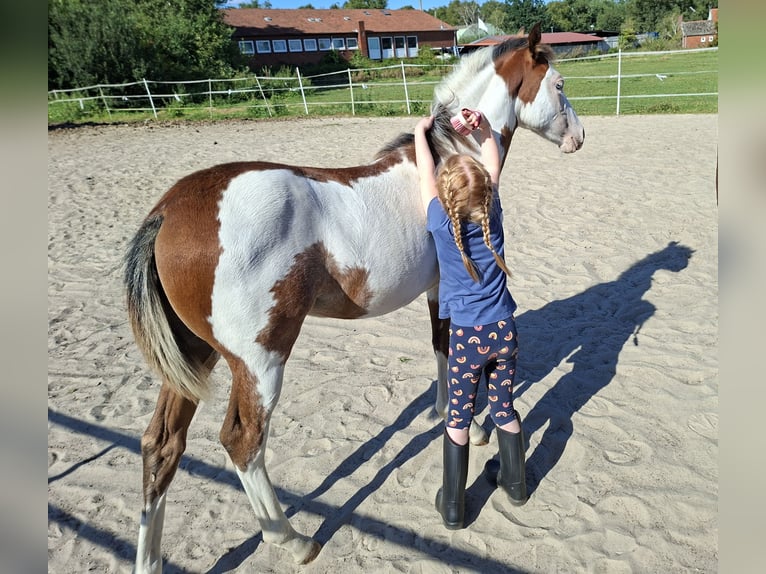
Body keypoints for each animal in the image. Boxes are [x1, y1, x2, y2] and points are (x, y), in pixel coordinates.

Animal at [125, 23, 584, 572]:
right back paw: (292, 539)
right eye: (558, 84)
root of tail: (168, 211)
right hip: (258, 362)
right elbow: (450, 350)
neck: (448, 161)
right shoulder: (446, 290)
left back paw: (150, 559)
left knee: (161, 445)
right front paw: (471, 427)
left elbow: (441, 349)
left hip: (194, 358)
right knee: (242, 441)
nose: (579, 138)